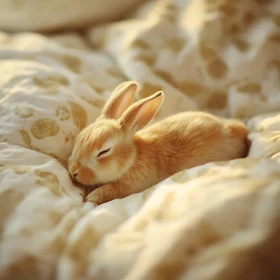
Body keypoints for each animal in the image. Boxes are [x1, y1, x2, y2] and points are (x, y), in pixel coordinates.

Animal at [68, 80, 247, 205]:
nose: (73, 171)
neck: (133, 157)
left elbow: (111, 190)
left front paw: (92, 197)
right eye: (79, 139)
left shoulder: (132, 184)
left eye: (104, 151)